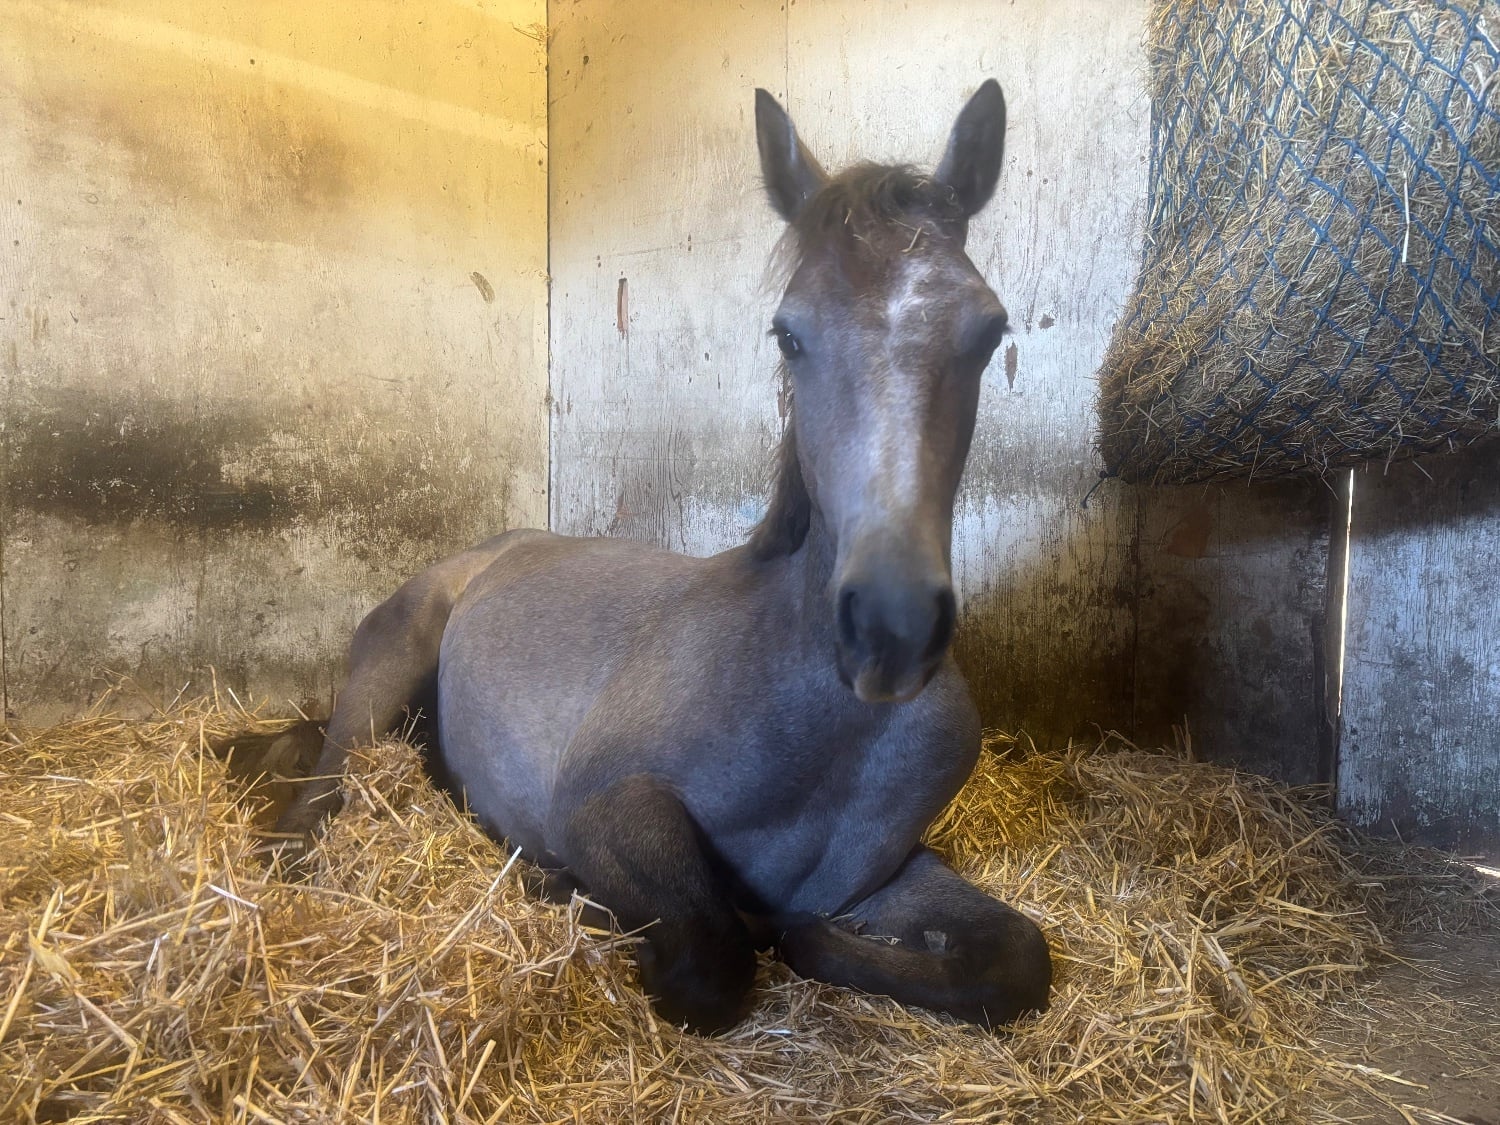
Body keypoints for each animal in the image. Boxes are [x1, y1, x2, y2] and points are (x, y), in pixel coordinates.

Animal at [277, 79, 1052, 1034]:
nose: (891, 626)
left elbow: (1011, 960)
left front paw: (810, 938)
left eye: (988, 331)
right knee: (323, 794)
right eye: (788, 334)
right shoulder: (603, 804)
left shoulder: (881, 873)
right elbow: (712, 962)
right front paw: (577, 895)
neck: (810, 717)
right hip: (385, 669)